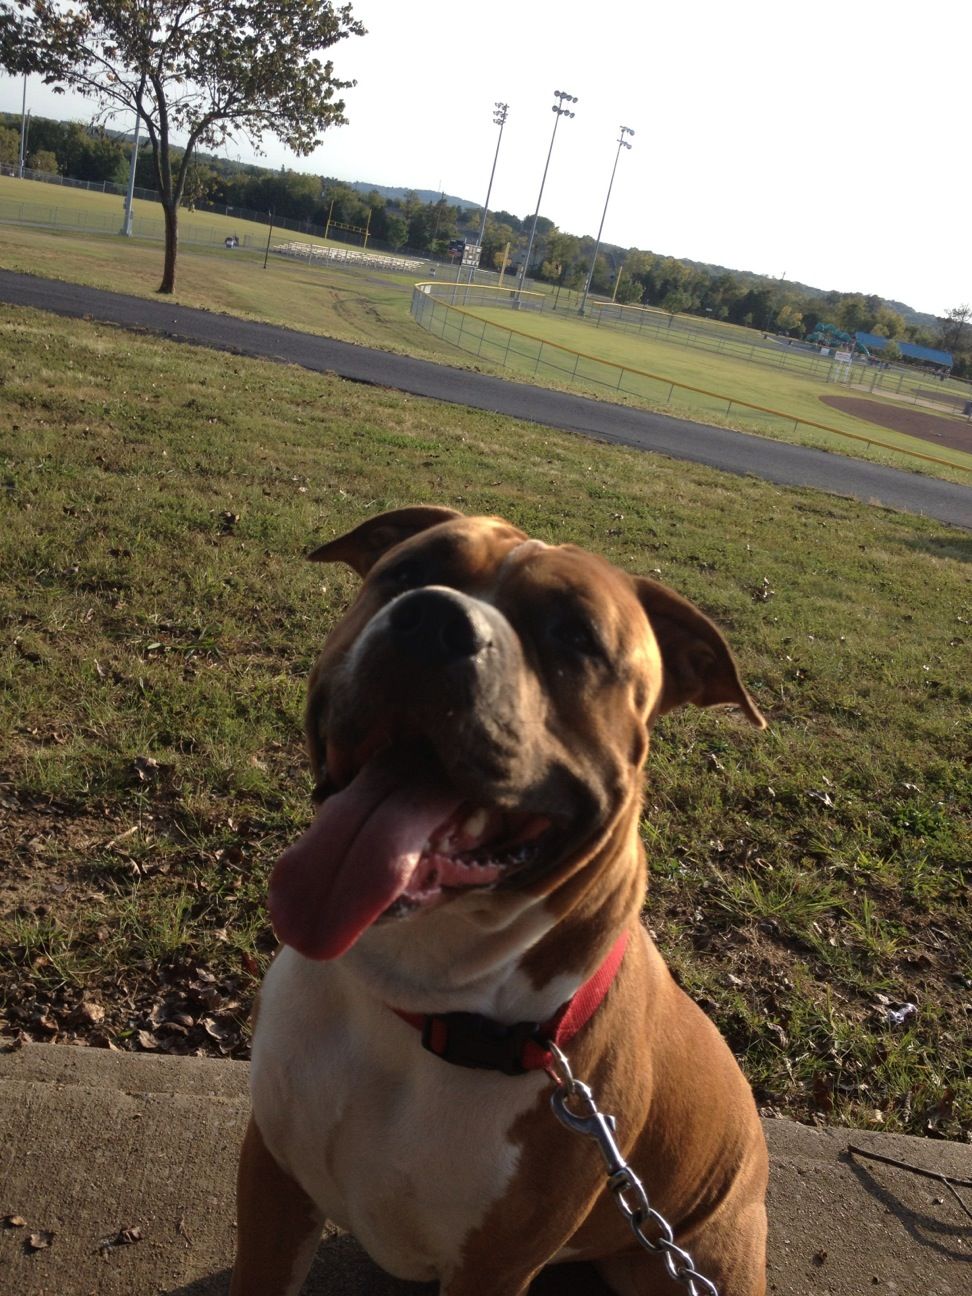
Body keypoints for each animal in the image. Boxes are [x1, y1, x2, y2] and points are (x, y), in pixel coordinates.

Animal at [231, 505, 772, 1296]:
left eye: (575, 635)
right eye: (406, 571)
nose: (432, 620)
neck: (414, 1001)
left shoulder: (494, 1266)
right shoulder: (272, 1180)